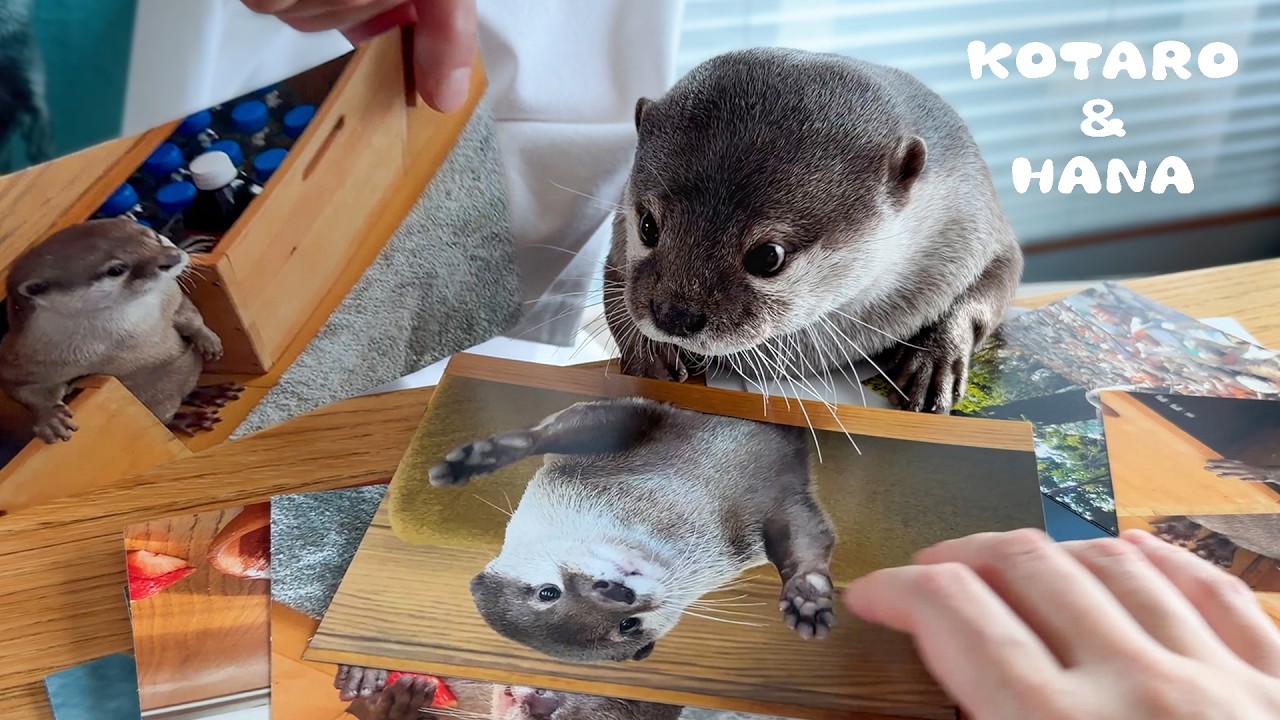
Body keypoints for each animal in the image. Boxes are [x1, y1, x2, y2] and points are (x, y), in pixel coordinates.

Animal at [0, 218, 239, 442]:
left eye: (153, 236)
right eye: (116, 270)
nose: (173, 258)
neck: (133, 333)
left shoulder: (170, 296)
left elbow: (186, 312)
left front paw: (208, 341)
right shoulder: (29, 355)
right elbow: (21, 386)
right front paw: (50, 417)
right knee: (168, 416)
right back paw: (189, 416)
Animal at [427, 397, 837, 663]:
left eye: (547, 592)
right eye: (628, 625)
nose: (618, 593)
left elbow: (591, 418)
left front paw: (807, 596)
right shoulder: (779, 504)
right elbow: (807, 531)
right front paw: (807, 595)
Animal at [603, 47, 1022, 415]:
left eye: (768, 256)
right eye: (647, 226)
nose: (674, 315)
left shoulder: (972, 211)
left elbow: (998, 277)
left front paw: (934, 359)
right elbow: (613, 284)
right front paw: (649, 353)